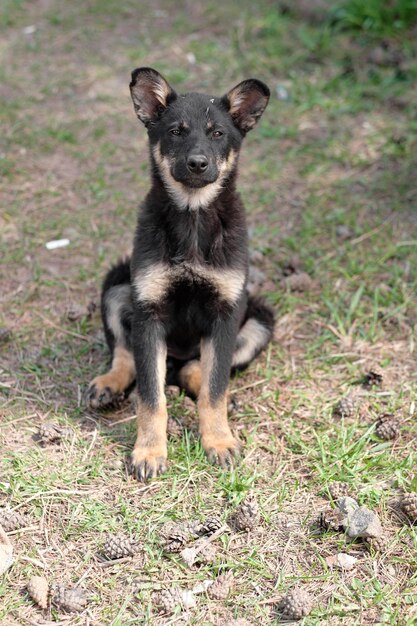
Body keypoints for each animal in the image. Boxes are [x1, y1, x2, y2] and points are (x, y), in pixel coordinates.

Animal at [86, 67, 274, 478]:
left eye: (217, 133)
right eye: (176, 131)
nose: (198, 163)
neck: (193, 215)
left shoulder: (226, 311)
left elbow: (215, 390)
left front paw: (218, 441)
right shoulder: (149, 311)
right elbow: (151, 398)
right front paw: (149, 452)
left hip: (260, 320)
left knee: (198, 371)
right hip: (117, 286)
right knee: (127, 354)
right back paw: (109, 383)